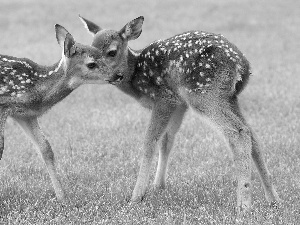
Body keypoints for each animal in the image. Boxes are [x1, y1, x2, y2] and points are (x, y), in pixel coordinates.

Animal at [0, 24, 112, 200]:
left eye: (103, 55)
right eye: (91, 64)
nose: (118, 75)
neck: (35, 87)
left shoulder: (25, 114)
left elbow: (46, 149)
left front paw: (61, 196)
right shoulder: (4, 107)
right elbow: (1, 148)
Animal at [79, 15, 282, 213]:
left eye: (111, 52)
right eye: (91, 49)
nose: (95, 69)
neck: (136, 77)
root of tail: (243, 66)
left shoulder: (165, 98)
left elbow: (150, 142)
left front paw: (136, 197)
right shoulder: (179, 104)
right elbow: (167, 141)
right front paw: (158, 185)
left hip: (204, 94)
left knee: (238, 132)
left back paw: (244, 205)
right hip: (228, 97)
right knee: (251, 134)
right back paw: (273, 198)